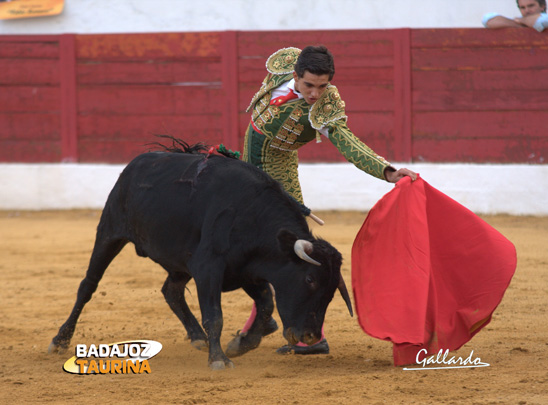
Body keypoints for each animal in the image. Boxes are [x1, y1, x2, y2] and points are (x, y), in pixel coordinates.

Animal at [49, 144, 354, 368]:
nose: (310, 337)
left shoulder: (246, 270)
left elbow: (267, 305)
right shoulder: (209, 268)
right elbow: (215, 315)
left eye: (331, 291)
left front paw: (241, 344)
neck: (252, 216)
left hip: (179, 262)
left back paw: (198, 337)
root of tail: (137, 163)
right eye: (310, 279)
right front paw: (219, 360)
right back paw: (60, 340)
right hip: (110, 232)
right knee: (87, 286)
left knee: (170, 290)